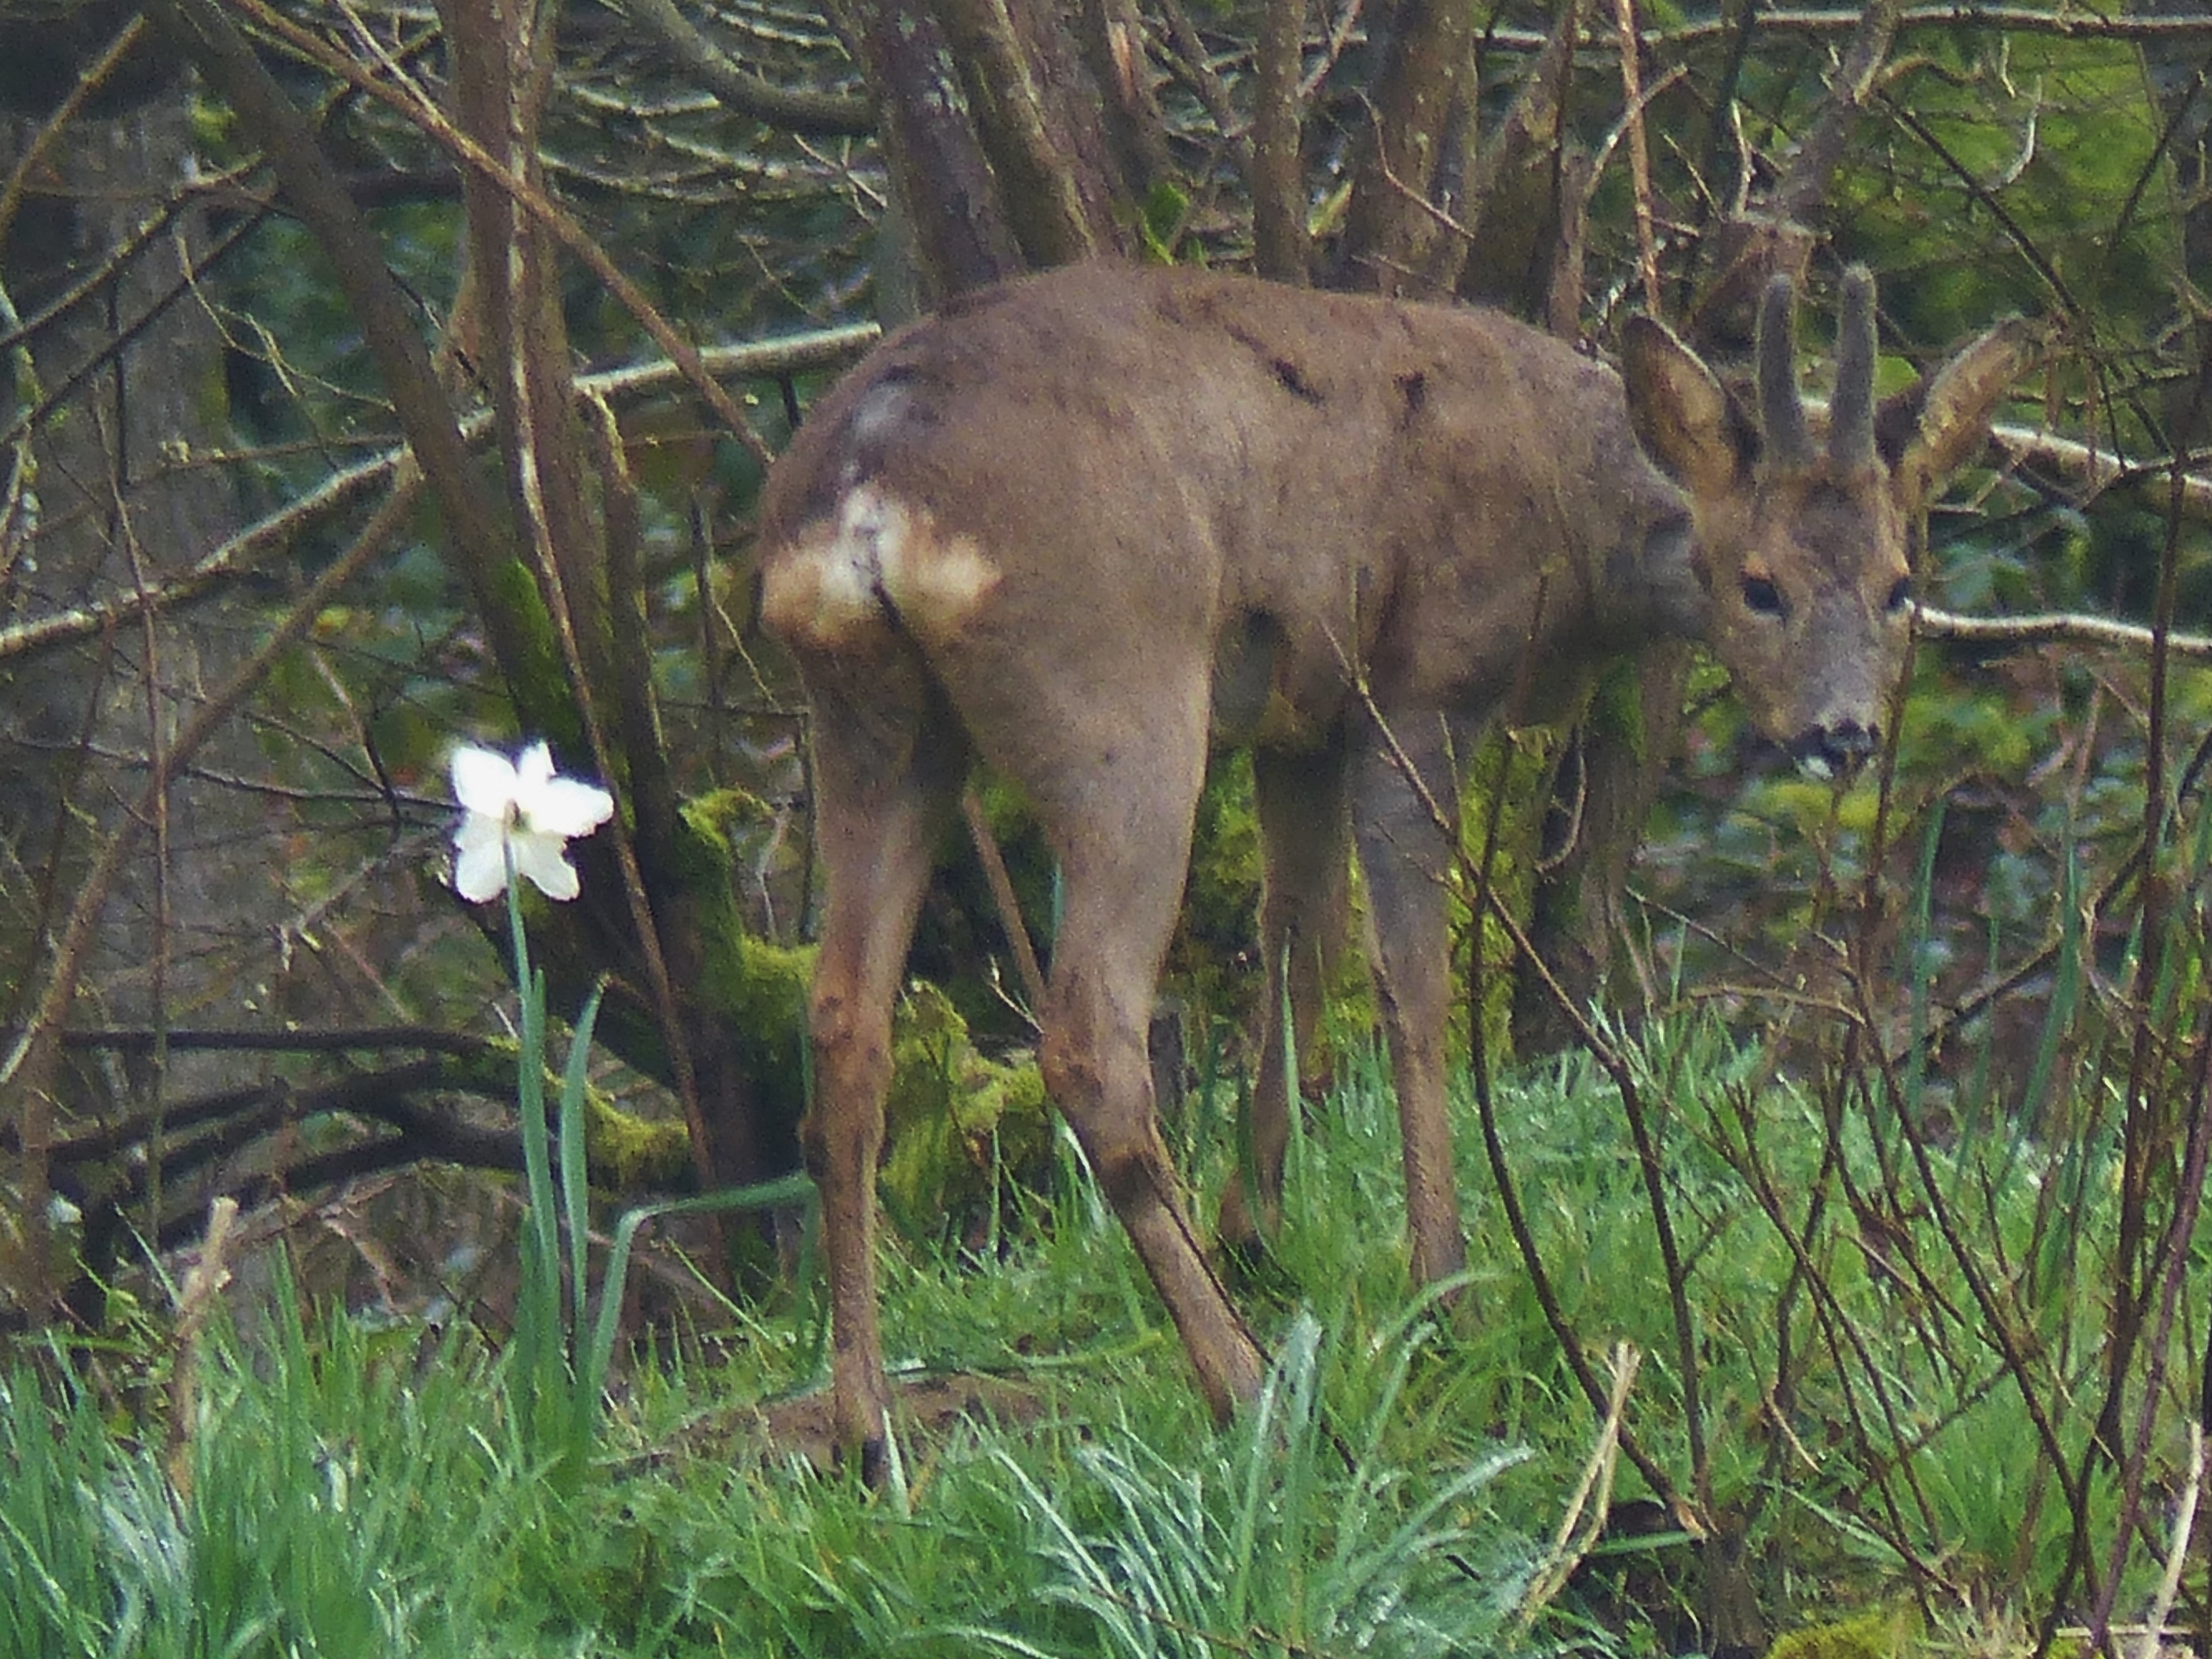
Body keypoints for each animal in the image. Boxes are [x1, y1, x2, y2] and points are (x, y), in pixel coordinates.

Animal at [755, 258, 2026, 1477]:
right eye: (1759, 584)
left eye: (1900, 583)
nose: (1842, 731)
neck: (1568, 520)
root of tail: (867, 489)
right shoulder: (1419, 688)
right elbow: (1411, 982)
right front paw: (1443, 1278)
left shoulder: (1299, 719)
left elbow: (1296, 937)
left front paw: (1255, 1224)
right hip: (1117, 697)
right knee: (1086, 1039)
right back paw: (1247, 1387)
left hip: (870, 719)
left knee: (844, 1019)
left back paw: (867, 1432)